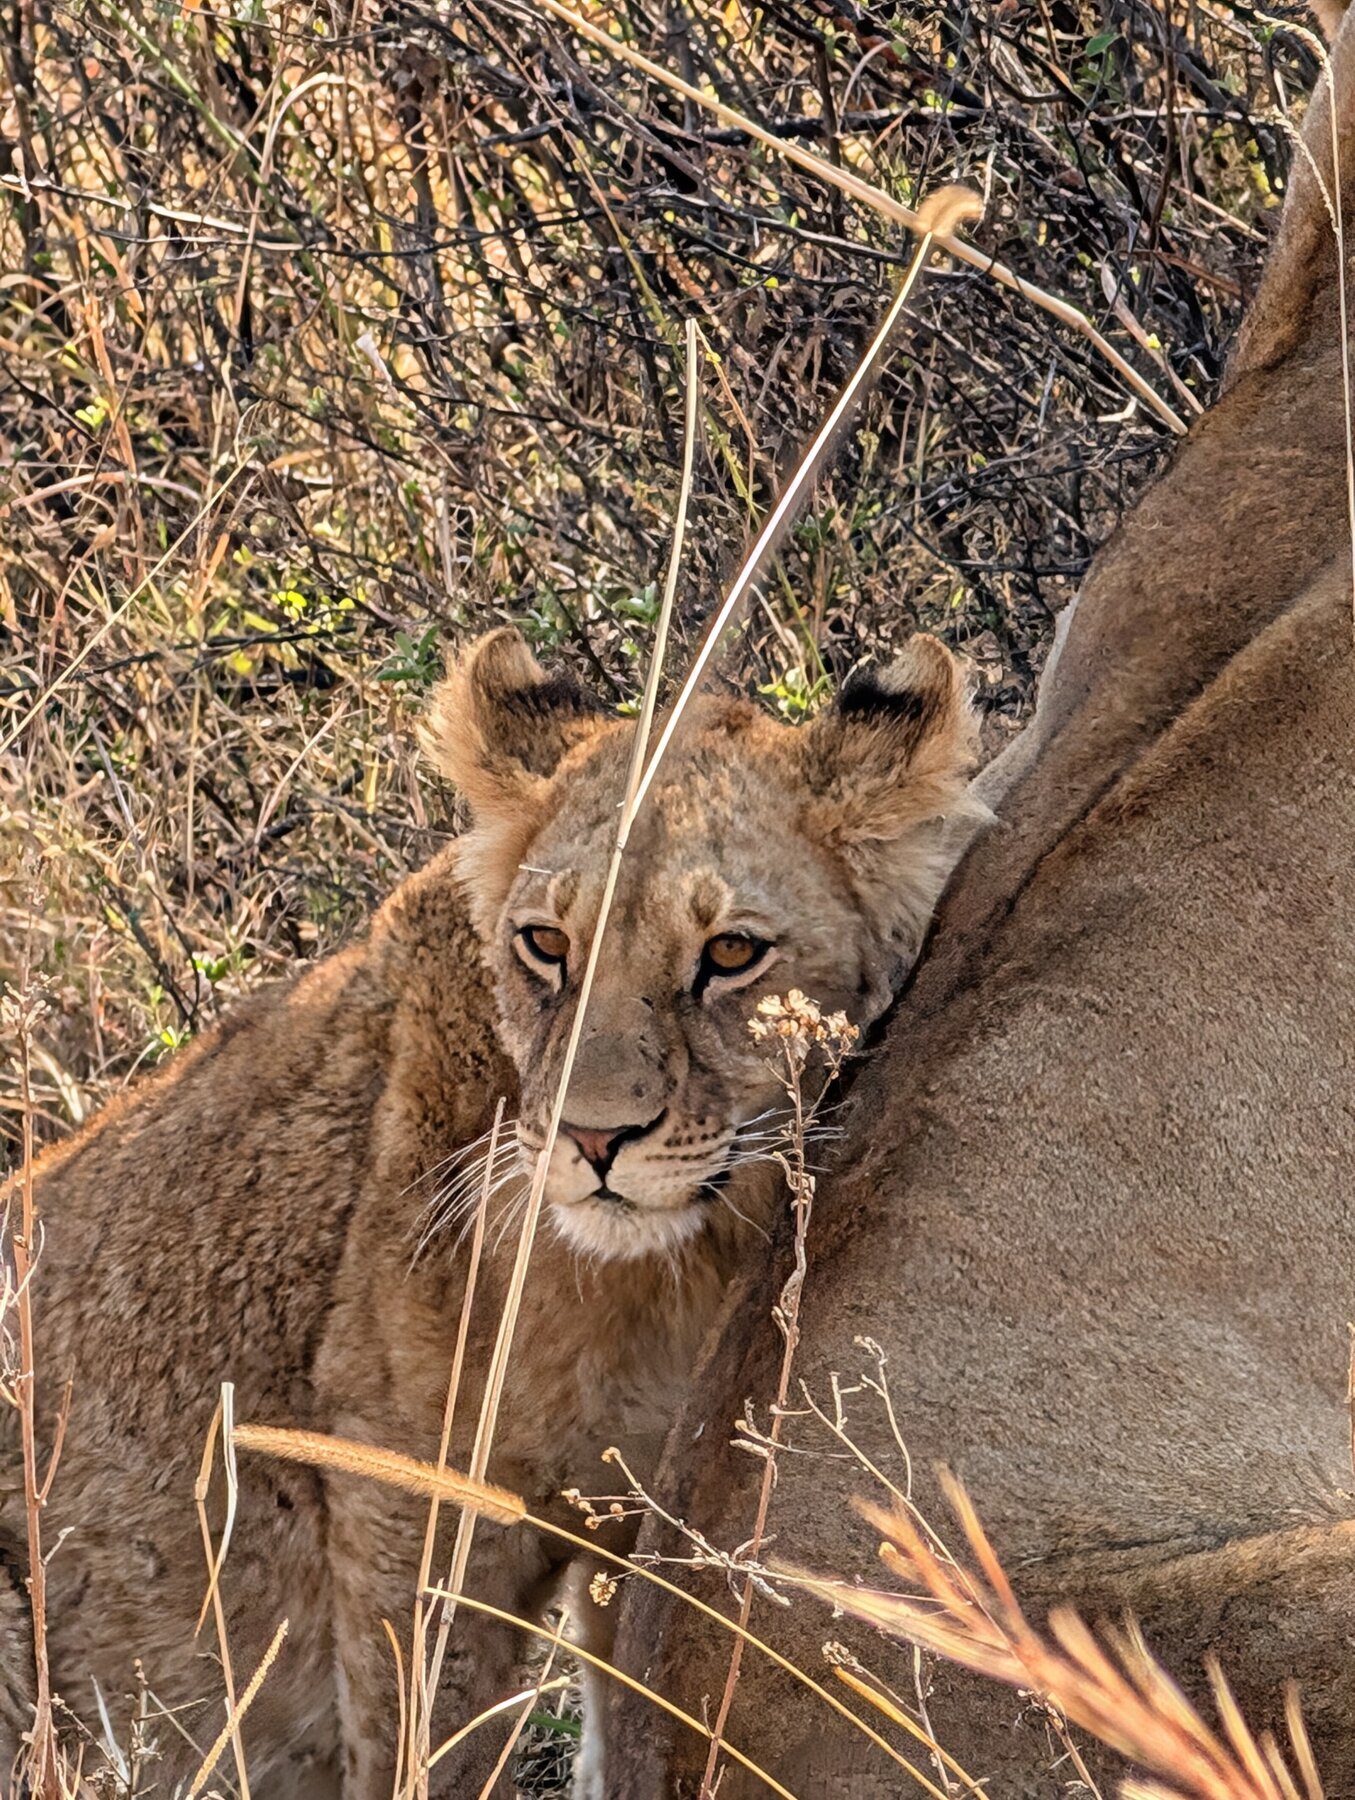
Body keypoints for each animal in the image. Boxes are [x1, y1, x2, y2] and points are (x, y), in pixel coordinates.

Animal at [0, 624, 981, 1797]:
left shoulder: (639, 1503)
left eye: (732, 953)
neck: (654, 1281)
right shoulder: (406, 1493)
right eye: (545, 946)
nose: (593, 1140)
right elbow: (421, 1739)